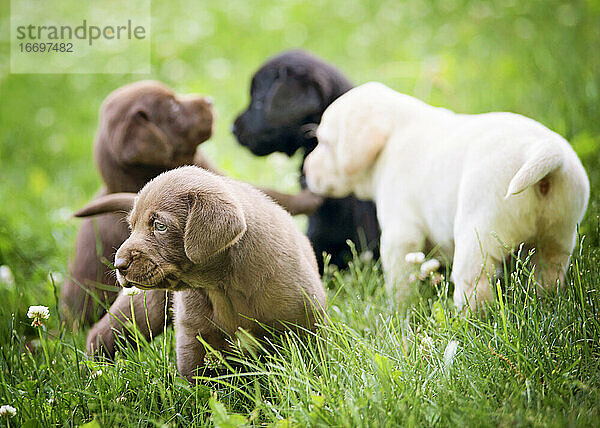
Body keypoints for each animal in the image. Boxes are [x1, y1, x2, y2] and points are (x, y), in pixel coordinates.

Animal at [86, 166, 326, 380]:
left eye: (160, 226)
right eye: (132, 226)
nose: (118, 264)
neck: (222, 285)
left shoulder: (306, 322)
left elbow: (312, 360)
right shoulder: (193, 334)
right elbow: (195, 380)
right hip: (142, 309)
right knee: (102, 334)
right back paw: (93, 372)